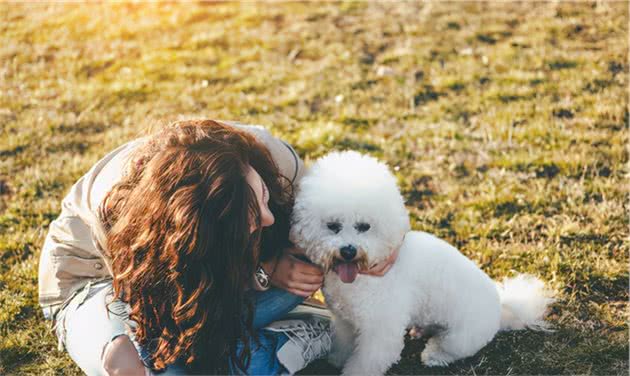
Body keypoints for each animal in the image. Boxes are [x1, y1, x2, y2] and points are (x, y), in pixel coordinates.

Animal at [288, 151, 556, 376]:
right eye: (332, 226)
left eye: (364, 226)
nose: (348, 251)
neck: (363, 275)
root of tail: (502, 306)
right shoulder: (345, 320)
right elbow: (343, 343)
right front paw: (336, 360)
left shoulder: (380, 329)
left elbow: (367, 361)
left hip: (461, 336)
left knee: (449, 347)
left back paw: (434, 355)